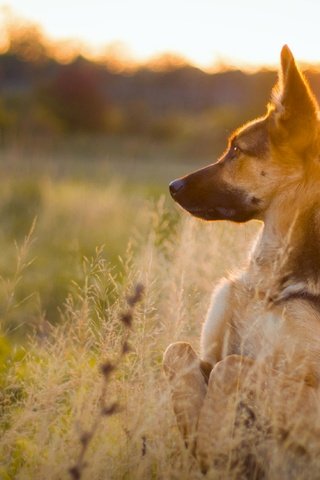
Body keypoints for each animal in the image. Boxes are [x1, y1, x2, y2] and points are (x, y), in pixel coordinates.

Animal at [162, 44, 320, 476]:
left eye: (236, 151)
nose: (172, 186)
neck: (271, 283)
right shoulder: (206, 352)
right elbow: (179, 351)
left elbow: (231, 368)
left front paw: (212, 445)